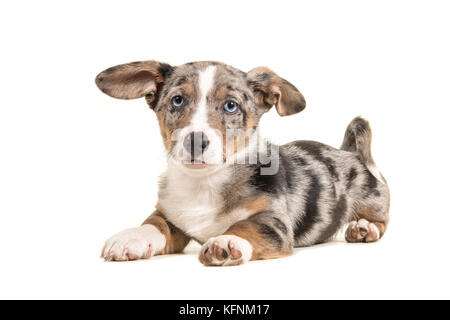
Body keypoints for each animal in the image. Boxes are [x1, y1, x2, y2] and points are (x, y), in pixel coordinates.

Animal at [96, 60, 390, 264]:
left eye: (231, 106)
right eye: (177, 100)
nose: (195, 141)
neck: (205, 184)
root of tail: (350, 152)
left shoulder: (273, 222)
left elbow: (245, 226)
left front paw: (226, 240)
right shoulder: (170, 217)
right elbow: (153, 224)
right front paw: (131, 237)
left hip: (372, 200)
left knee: (381, 221)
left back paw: (363, 228)